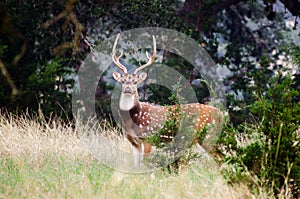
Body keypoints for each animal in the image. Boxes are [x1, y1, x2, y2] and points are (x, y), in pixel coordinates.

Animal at [111, 33, 221, 168]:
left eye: (135, 82)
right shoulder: (134, 142)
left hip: (209, 136)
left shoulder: (148, 137)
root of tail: (221, 114)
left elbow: (144, 164)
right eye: (122, 80)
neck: (134, 118)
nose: (127, 88)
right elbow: (137, 165)